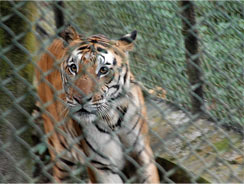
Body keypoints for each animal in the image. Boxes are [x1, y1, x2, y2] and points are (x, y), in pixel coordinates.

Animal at [35, 25, 159, 183]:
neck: (113, 119)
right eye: (73, 67)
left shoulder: (142, 155)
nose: (80, 99)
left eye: (103, 70)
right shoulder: (101, 166)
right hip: (61, 155)